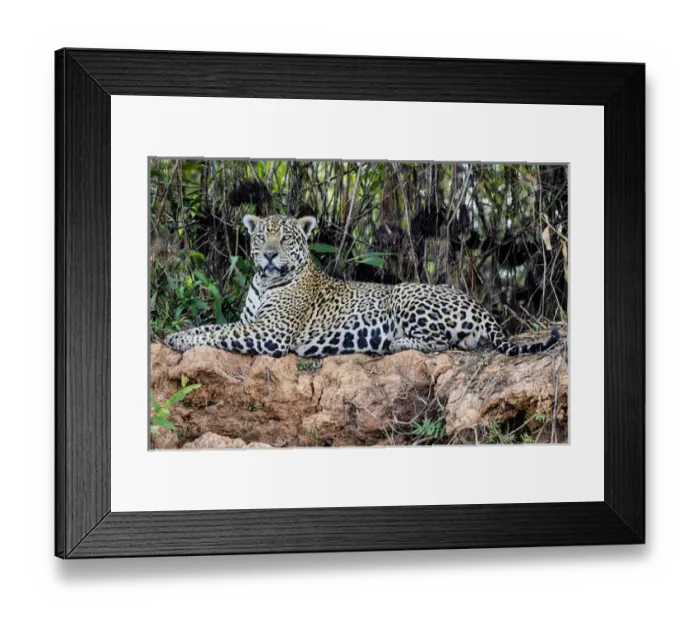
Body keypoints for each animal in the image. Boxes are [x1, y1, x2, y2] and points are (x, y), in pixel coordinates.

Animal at [164, 214, 560, 358]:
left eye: (287, 238)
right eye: (262, 236)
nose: (270, 255)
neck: (265, 281)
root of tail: (478, 306)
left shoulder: (271, 332)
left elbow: (221, 331)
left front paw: (180, 339)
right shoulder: (253, 322)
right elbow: (214, 326)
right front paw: (178, 334)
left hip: (406, 293)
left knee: (439, 342)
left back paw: (396, 342)